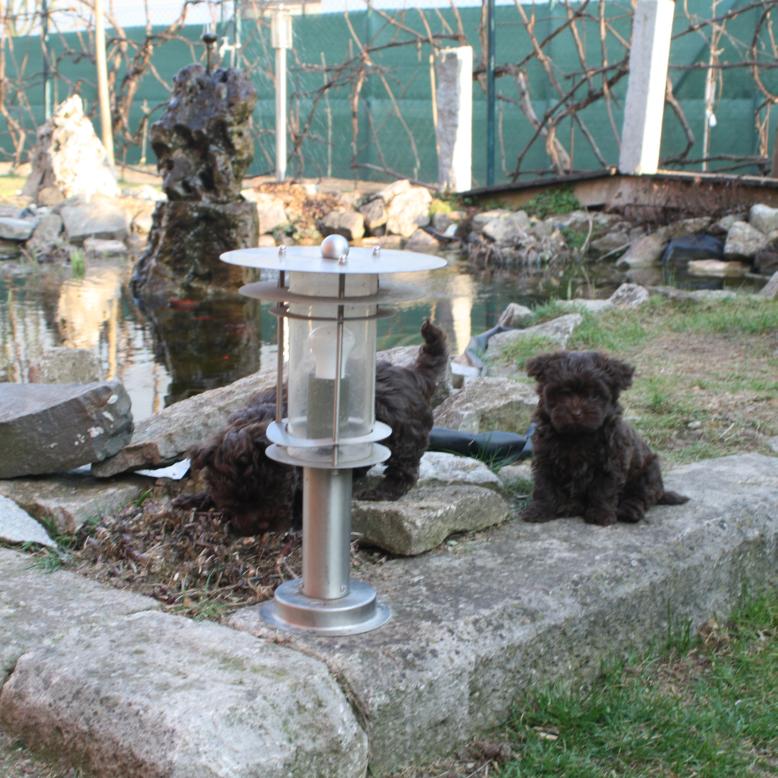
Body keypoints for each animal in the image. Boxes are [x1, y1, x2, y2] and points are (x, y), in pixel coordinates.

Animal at [180, 319, 448, 534]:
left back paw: (384, 491)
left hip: (404, 431)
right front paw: (195, 498)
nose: (259, 527)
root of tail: (413, 374)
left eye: (273, 492)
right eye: (233, 499)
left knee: (405, 467)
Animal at [520, 351, 688, 526]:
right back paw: (570, 506)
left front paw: (600, 514)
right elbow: (544, 487)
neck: (577, 436)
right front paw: (539, 510)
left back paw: (629, 511)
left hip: (648, 471)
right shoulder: (545, 460)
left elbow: (603, 489)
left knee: (640, 496)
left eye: (594, 395)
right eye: (563, 393)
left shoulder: (610, 462)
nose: (576, 413)